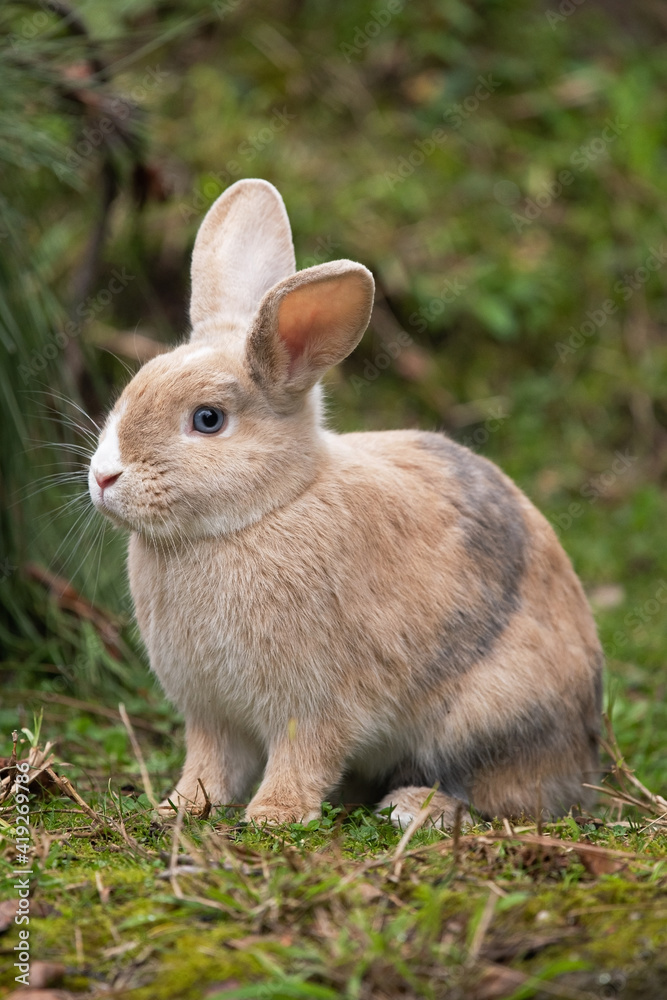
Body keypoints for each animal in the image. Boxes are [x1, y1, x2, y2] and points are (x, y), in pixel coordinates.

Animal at [88, 177, 602, 827]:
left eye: (208, 419)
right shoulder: (211, 714)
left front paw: (272, 817)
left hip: (489, 715)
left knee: (504, 796)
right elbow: (210, 764)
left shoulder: (316, 704)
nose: (104, 477)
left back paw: (415, 806)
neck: (263, 511)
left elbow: (303, 756)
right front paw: (179, 807)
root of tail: (587, 757)